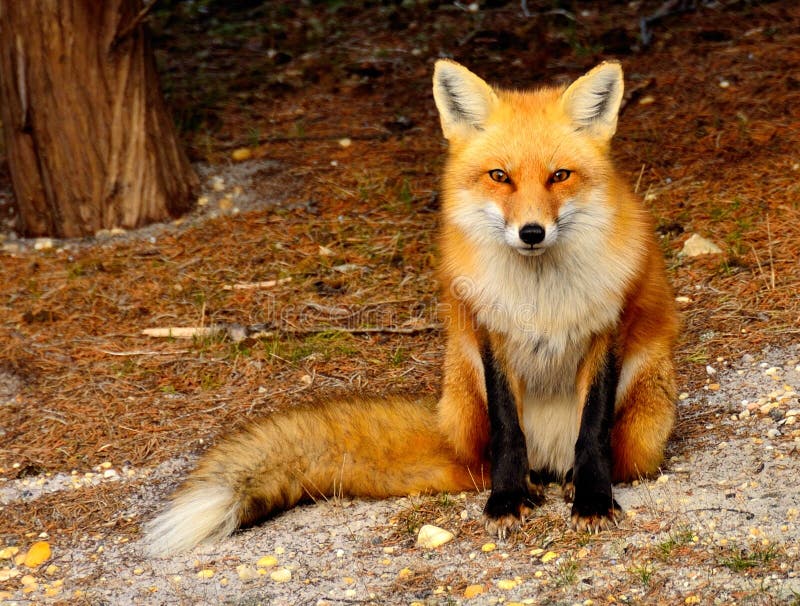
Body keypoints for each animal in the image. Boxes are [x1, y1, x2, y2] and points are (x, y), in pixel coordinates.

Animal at [142, 59, 676, 560]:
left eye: (559, 176)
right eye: (500, 177)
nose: (531, 233)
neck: (540, 294)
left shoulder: (606, 329)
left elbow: (593, 431)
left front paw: (592, 500)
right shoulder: (488, 332)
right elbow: (507, 430)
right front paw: (506, 501)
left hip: (644, 425)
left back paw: (567, 484)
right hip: (466, 397)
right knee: (490, 463)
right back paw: (522, 485)